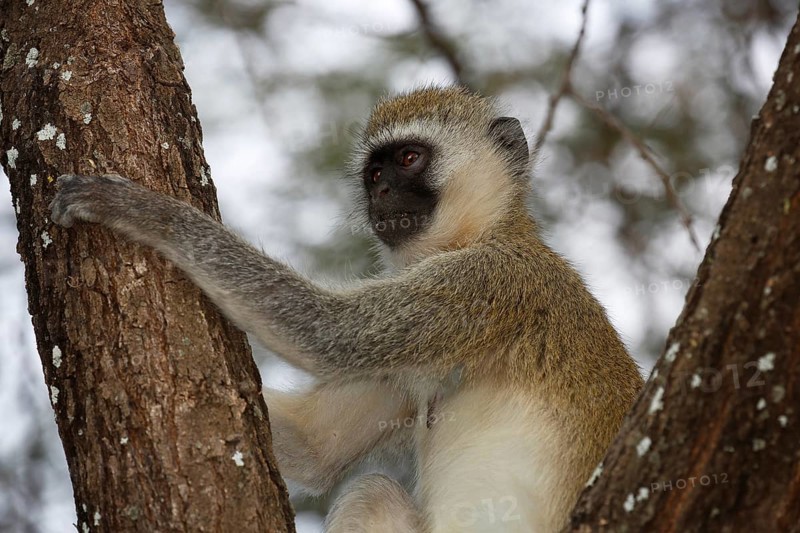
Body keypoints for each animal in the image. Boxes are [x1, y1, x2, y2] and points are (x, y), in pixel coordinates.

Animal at [50, 86, 644, 532]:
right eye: (373, 174)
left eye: (408, 158)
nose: (379, 194)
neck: (483, 234)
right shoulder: (405, 371)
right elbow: (317, 446)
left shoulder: (488, 284)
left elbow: (332, 334)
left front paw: (145, 211)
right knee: (371, 493)